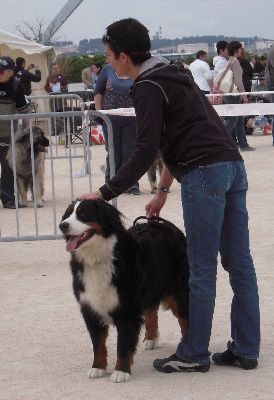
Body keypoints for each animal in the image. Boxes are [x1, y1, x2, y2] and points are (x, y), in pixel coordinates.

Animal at [59, 198, 189, 382]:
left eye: (83, 214)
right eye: (68, 214)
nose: (62, 225)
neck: (97, 259)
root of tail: (166, 225)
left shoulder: (126, 309)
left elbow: (123, 344)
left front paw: (121, 371)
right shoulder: (90, 308)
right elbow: (98, 343)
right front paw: (98, 367)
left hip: (179, 290)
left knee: (185, 319)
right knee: (151, 312)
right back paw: (150, 339)